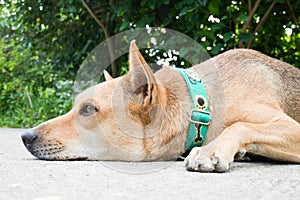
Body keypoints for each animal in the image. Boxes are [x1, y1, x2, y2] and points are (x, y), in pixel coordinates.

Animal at [21, 40, 300, 172]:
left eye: (89, 109)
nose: (25, 136)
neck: (202, 105)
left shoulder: (291, 127)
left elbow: (241, 125)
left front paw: (210, 149)